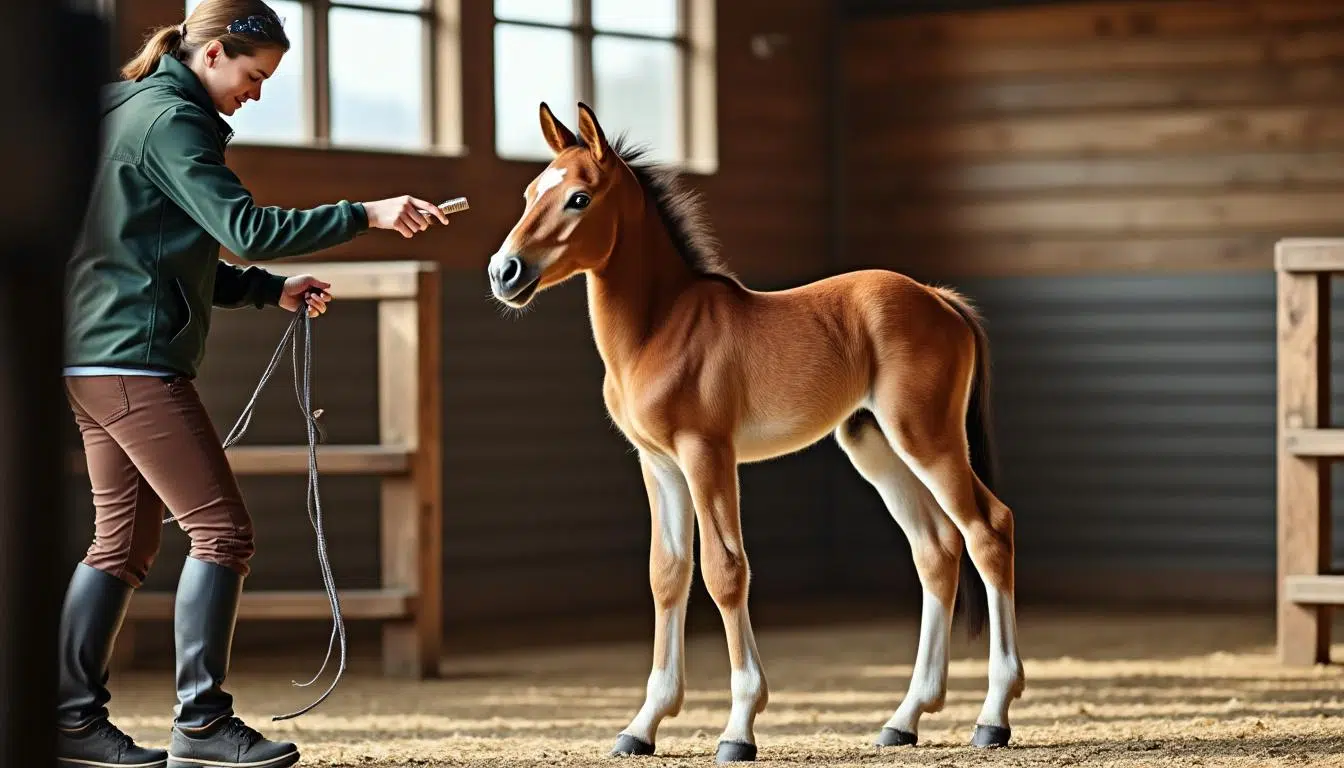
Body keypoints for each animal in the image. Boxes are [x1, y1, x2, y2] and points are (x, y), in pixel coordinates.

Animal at [485, 102, 1025, 763]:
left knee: (988, 530)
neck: (660, 327)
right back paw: (904, 719)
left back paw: (993, 718)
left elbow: (724, 571)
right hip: (874, 445)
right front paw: (643, 726)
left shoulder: (706, 453)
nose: (504, 272)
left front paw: (739, 727)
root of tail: (940, 298)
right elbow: (667, 575)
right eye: (531, 192)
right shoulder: (658, 464)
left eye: (579, 198)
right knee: (937, 550)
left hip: (926, 436)